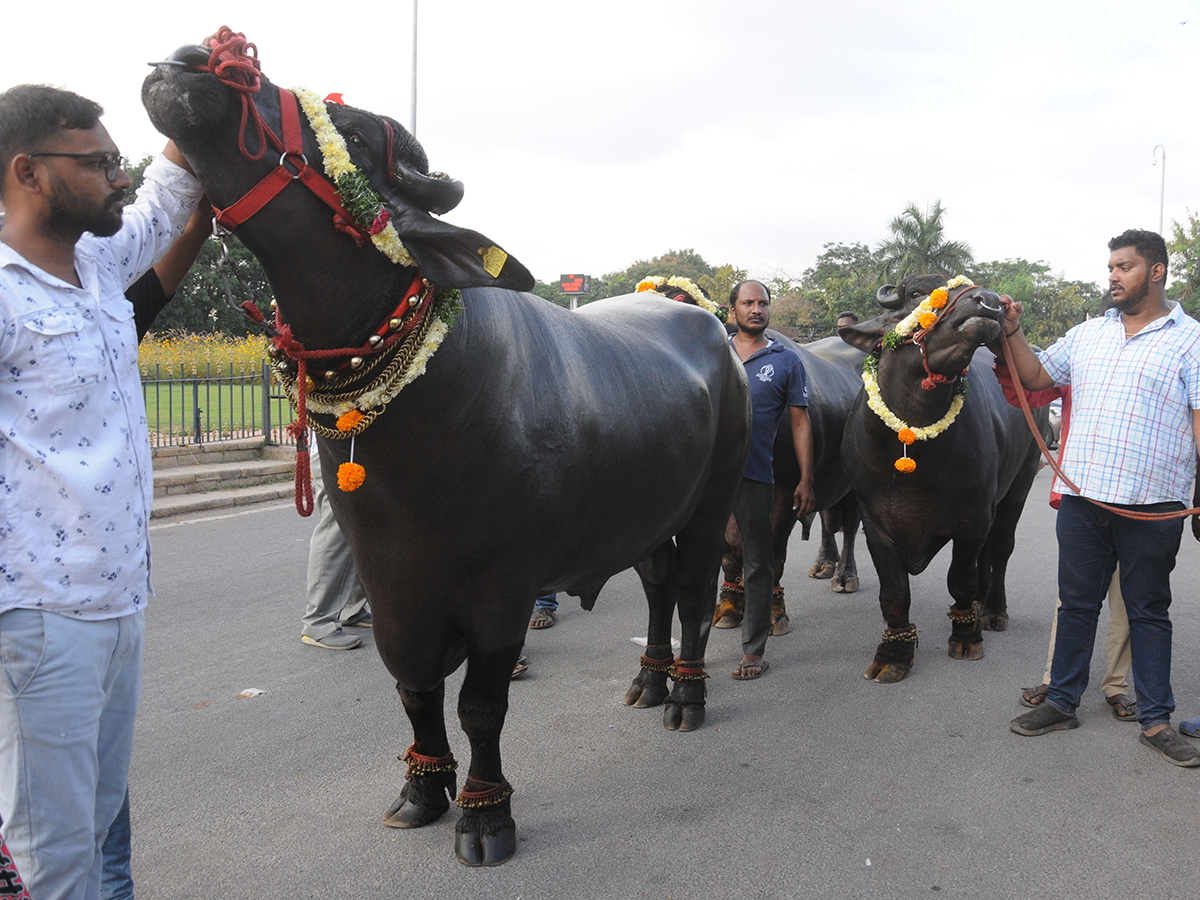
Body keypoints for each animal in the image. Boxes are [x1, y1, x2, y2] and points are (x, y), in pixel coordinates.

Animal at [142, 31, 748, 868]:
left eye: (354, 136)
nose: (199, 55)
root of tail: (709, 327)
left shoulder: (502, 588)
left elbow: (481, 706)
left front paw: (486, 814)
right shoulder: (393, 583)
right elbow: (415, 689)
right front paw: (422, 789)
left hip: (713, 500)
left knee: (691, 596)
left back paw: (686, 692)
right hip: (649, 513)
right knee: (658, 589)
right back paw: (649, 681)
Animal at [840, 274, 1046, 681]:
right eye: (918, 294)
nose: (990, 302)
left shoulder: (972, 519)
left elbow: (961, 580)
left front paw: (966, 636)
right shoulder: (875, 524)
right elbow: (894, 593)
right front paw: (893, 654)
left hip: (1023, 479)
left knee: (1001, 547)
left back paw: (992, 610)